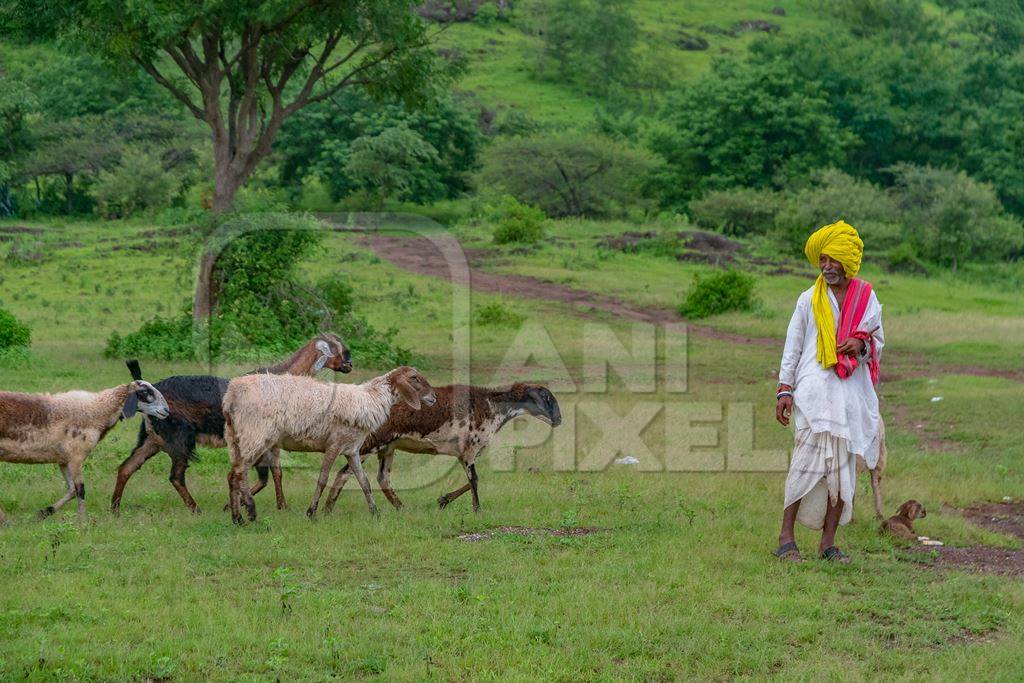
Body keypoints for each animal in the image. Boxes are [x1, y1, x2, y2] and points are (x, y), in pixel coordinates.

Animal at [0, 362, 167, 524]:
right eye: (145, 393)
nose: (167, 410)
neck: (97, 410)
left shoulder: (64, 459)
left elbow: (72, 490)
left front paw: (44, 512)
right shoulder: (76, 456)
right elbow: (81, 489)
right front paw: (82, 522)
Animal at [222, 368, 434, 524]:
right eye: (414, 378)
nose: (433, 397)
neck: (371, 399)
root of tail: (231, 394)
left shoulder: (351, 450)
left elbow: (364, 482)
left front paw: (375, 512)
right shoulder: (334, 444)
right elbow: (323, 479)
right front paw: (311, 512)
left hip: (236, 437)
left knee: (233, 475)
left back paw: (237, 518)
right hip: (255, 434)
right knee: (239, 472)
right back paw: (249, 511)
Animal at [321, 385, 561, 511]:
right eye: (548, 398)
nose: (559, 420)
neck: (494, 407)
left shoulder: (464, 453)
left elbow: (470, 481)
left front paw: (443, 500)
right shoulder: (470, 449)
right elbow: (474, 480)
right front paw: (477, 509)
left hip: (388, 447)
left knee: (383, 478)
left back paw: (401, 508)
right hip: (371, 443)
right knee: (345, 473)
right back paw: (327, 508)